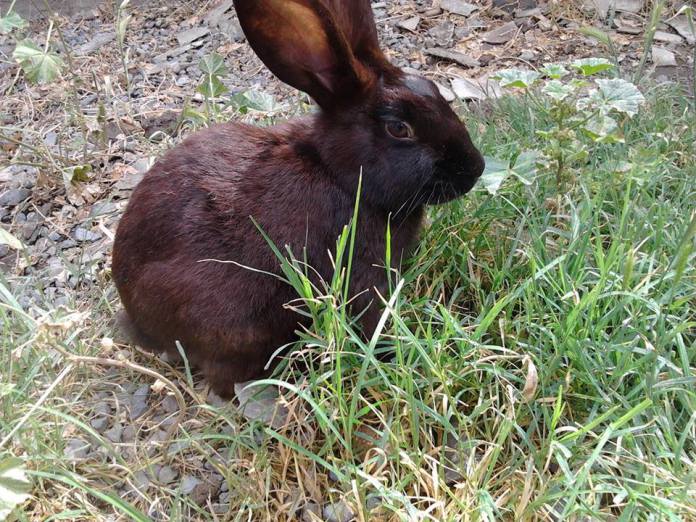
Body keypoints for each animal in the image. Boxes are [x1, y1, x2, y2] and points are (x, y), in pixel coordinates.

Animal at [114, 0, 484, 396]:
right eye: (399, 128)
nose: (475, 168)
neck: (337, 174)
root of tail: (134, 315)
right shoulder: (361, 276)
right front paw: (390, 354)